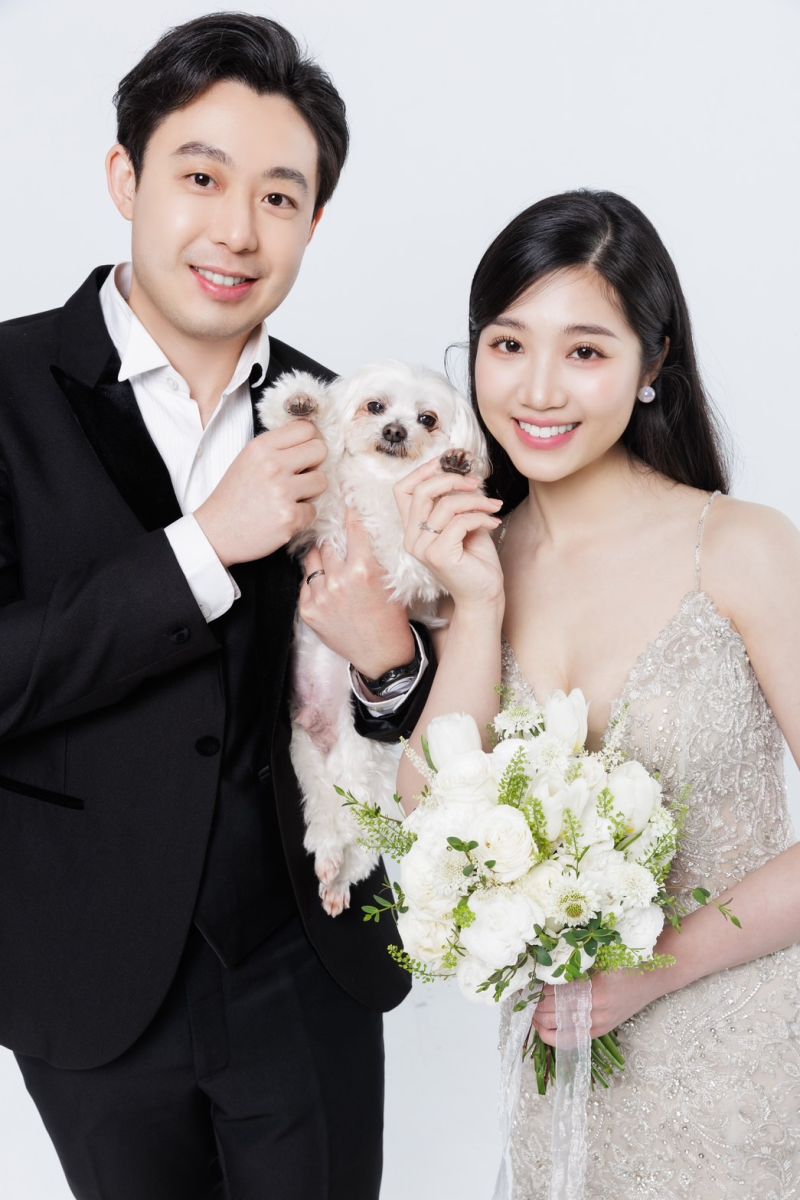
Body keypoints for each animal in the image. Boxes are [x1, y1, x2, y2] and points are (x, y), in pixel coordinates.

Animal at [257, 361, 488, 915]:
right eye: (375, 406)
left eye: (427, 419)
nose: (396, 431)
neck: (382, 484)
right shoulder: (322, 514)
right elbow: (317, 471)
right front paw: (299, 403)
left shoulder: (414, 567)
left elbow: (409, 556)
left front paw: (456, 467)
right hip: (305, 758)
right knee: (325, 818)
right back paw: (328, 865)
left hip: (358, 764)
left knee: (359, 835)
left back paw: (338, 875)